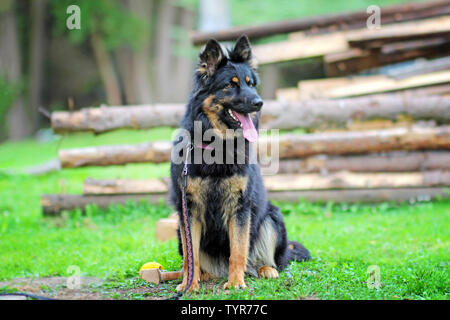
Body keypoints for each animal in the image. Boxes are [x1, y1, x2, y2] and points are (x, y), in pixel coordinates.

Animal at [169, 35, 310, 292]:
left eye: (250, 84)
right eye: (230, 85)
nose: (259, 103)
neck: (217, 146)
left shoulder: (240, 208)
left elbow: (237, 249)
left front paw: (235, 283)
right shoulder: (188, 210)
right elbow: (191, 255)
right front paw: (189, 285)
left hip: (272, 218)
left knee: (267, 260)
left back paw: (265, 270)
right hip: (178, 230)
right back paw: (201, 275)